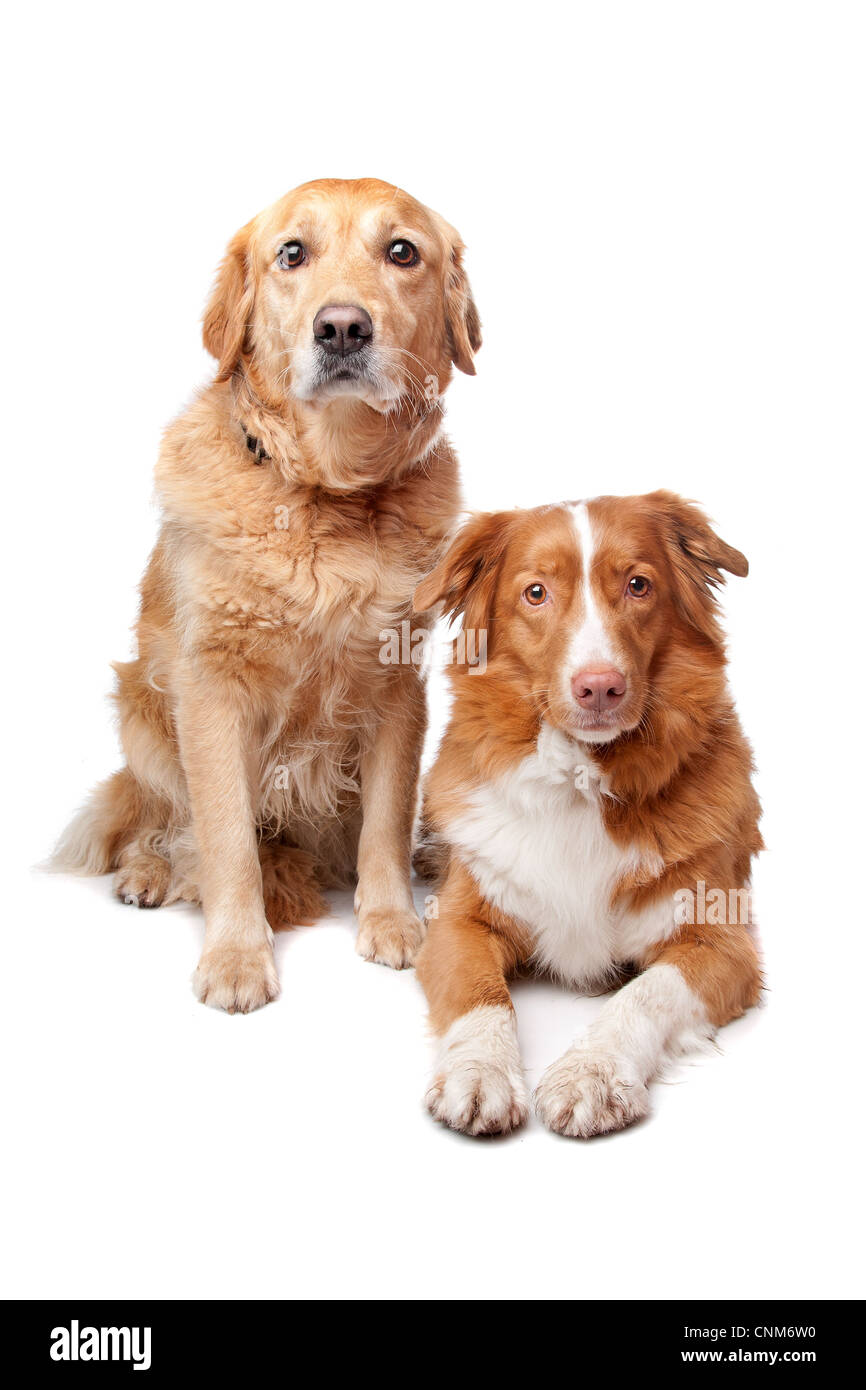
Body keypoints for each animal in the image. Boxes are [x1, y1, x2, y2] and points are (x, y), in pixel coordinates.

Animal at [55, 179, 480, 1017]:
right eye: (292, 253)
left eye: (402, 251)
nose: (342, 328)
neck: (327, 496)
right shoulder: (212, 692)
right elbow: (225, 839)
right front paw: (236, 956)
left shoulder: (397, 689)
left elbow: (385, 820)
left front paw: (391, 920)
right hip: (142, 715)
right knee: (155, 815)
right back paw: (147, 871)